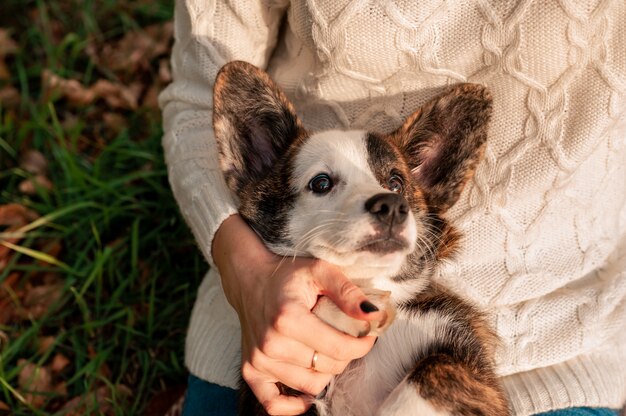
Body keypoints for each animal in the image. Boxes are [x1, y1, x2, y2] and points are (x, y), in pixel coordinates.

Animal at [212, 59, 504, 416]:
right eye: (321, 183)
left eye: (396, 183)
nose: (391, 206)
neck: (366, 281)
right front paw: (343, 313)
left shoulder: (472, 370)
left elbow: (436, 370)